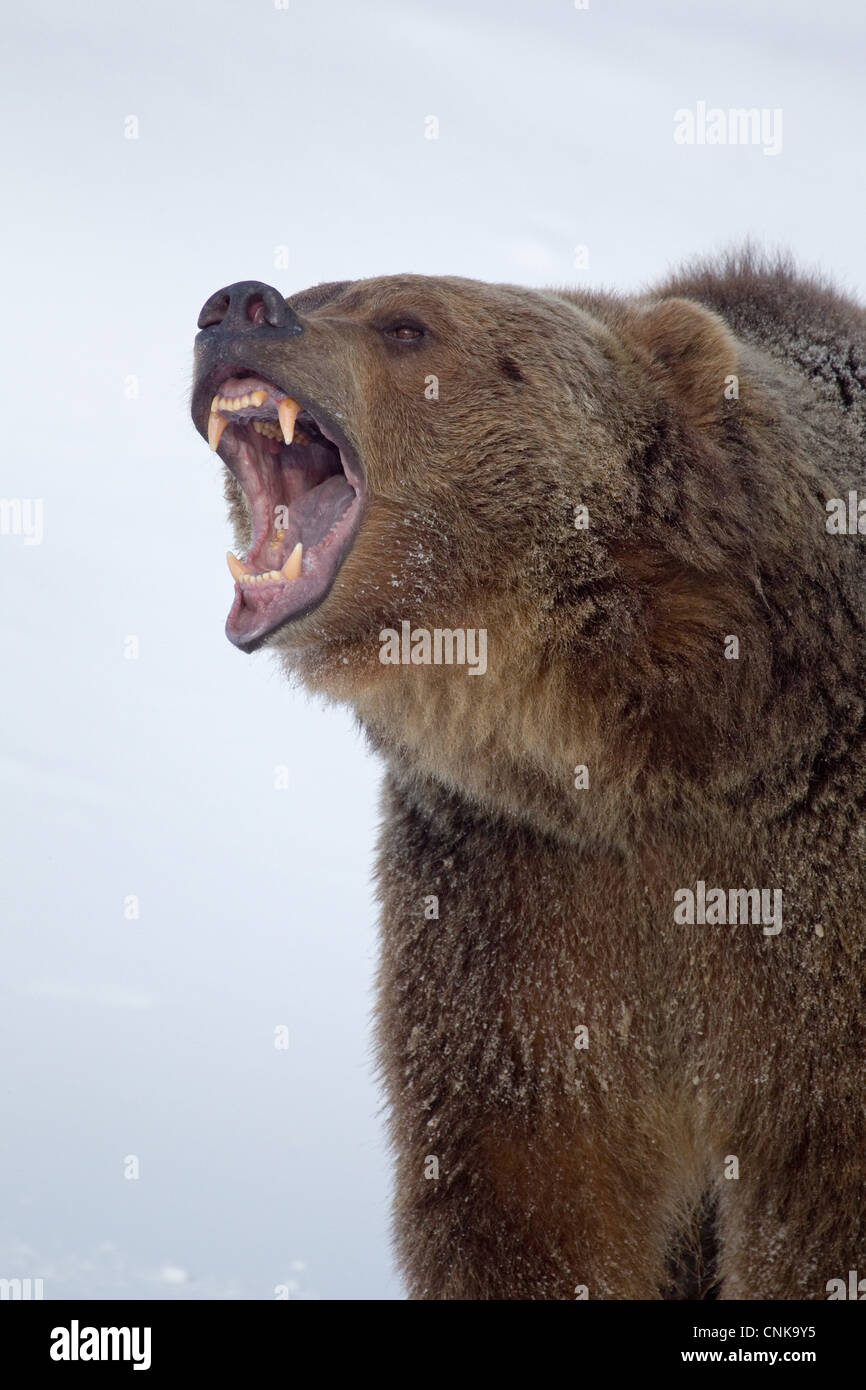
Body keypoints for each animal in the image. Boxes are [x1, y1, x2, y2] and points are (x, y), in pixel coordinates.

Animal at [189, 252, 866, 1301]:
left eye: (408, 323)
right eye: (323, 287)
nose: (237, 306)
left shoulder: (807, 899)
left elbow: (821, 1200)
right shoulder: (518, 894)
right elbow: (532, 1177)